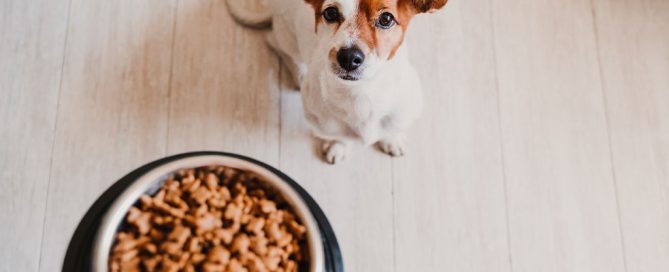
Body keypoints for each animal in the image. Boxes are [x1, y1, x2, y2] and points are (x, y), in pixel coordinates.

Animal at [226, 0, 448, 164]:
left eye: (386, 18)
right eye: (331, 13)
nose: (348, 57)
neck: (361, 93)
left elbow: (393, 128)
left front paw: (392, 139)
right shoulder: (323, 124)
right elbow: (339, 136)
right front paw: (338, 146)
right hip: (286, 38)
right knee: (274, 43)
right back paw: (298, 74)